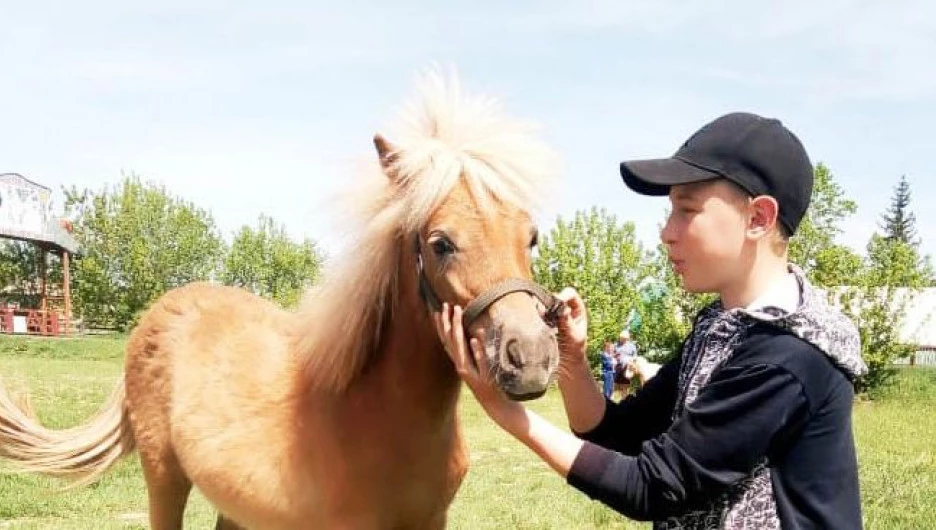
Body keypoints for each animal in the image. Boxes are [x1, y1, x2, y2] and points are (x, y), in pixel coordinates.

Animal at [0, 71, 564, 528]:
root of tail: (157, 313)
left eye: (531, 236)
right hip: (163, 477)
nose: (531, 356)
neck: (372, 414)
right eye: (440, 243)